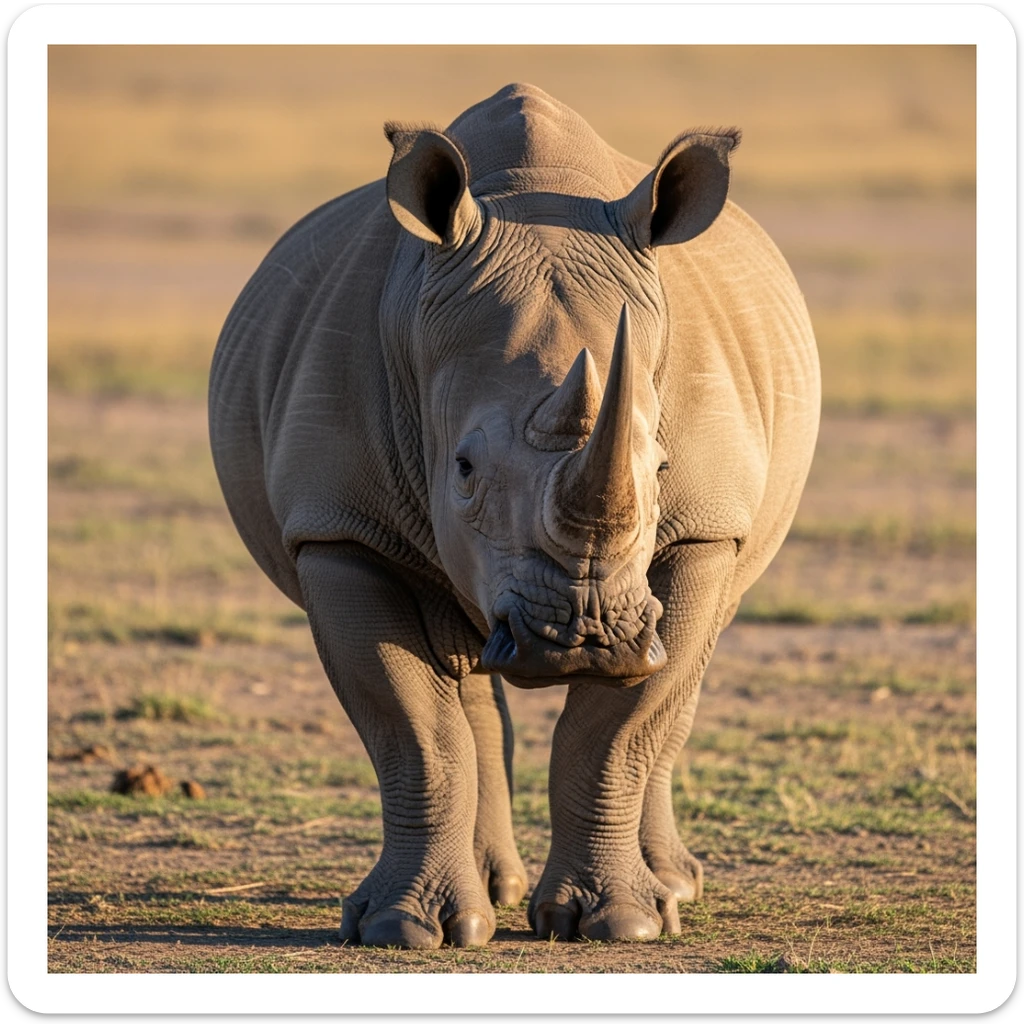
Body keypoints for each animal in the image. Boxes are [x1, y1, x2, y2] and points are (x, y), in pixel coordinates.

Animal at [209, 83, 820, 949]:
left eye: (663, 467)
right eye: (463, 469)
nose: (586, 638)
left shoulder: (706, 527)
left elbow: (620, 727)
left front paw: (623, 923)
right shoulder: (339, 527)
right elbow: (413, 727)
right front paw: (406, 929)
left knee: (679, 673)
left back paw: (671, 885)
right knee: (459, 675)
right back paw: (493, 892)